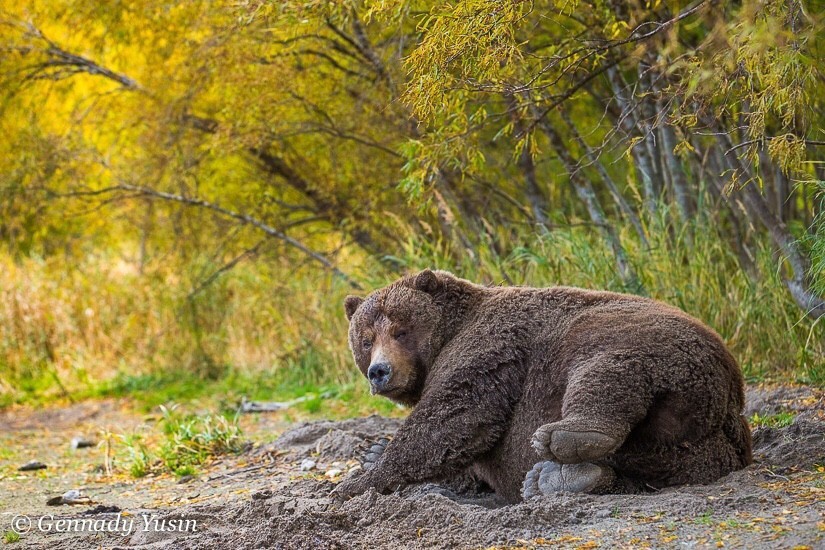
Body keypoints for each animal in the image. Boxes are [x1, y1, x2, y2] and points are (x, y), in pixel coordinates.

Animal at [332, 270, 748, 504]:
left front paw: (356, 482)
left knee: (606, 369)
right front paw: (371, 452)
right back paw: (561, 479)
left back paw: (563, 440)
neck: (449, 334)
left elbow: (456, 417)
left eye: (401, 330)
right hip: (698, 451)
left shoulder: (490, 347)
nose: (379, 371)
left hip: (633, 338)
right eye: (366, 339)